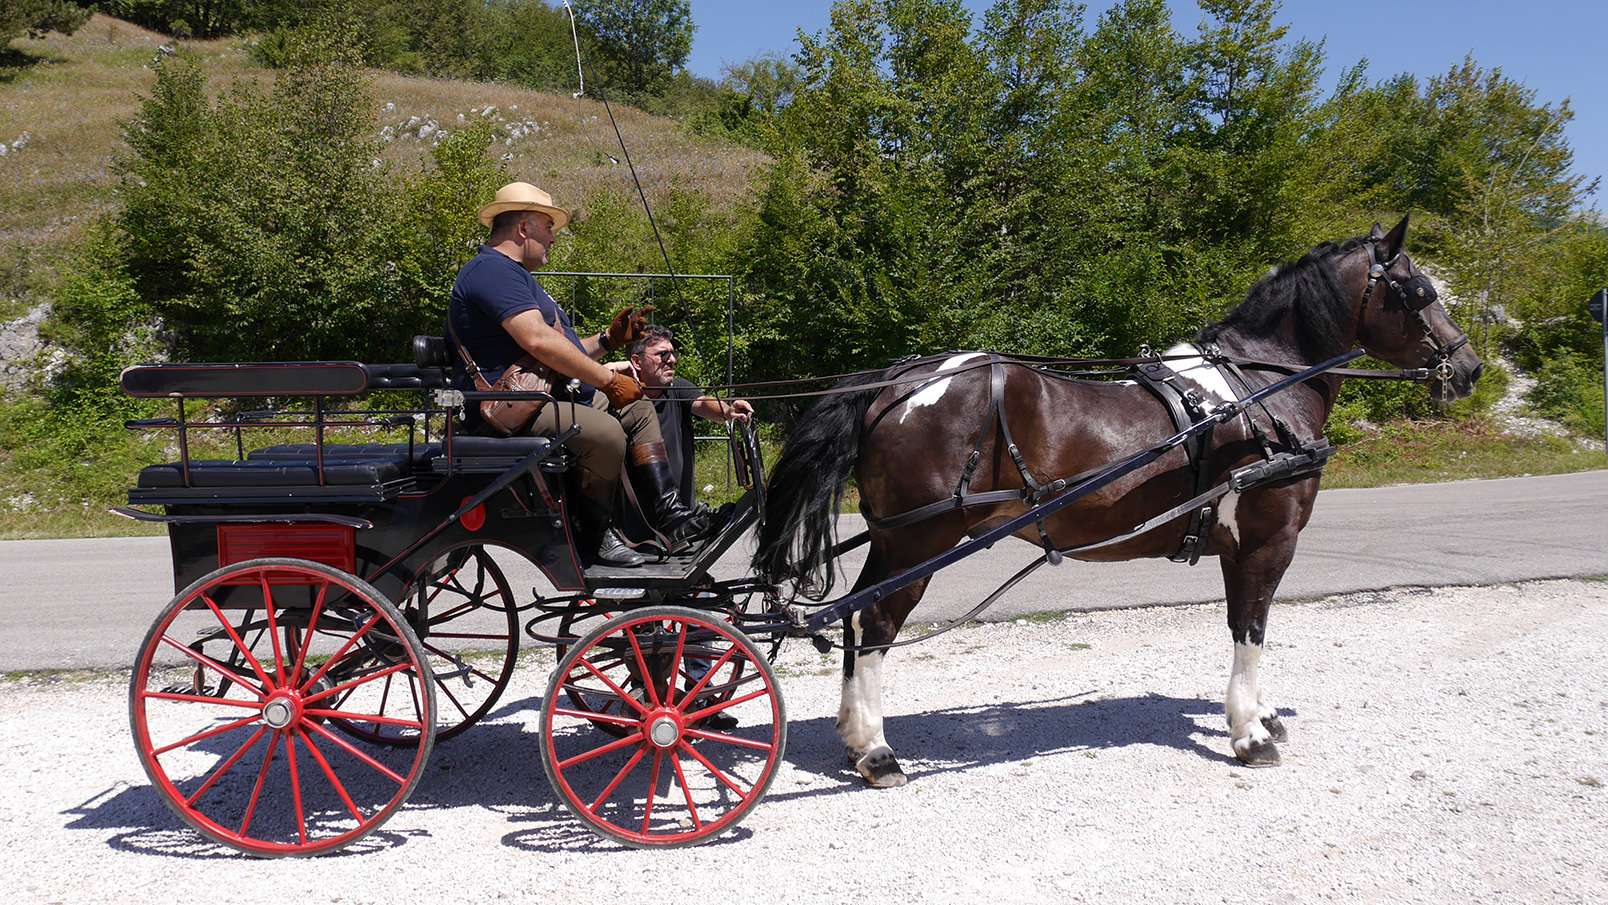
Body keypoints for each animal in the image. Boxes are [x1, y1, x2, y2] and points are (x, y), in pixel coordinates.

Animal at [752, 215, 1479, 790]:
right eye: (1421, 292)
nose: (1469, 367)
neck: (1258, 393)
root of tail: (895, 383)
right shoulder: (1267, 539)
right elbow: (1251, 628)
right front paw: (1249, 731)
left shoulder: (1239, 545)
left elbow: (1248, 623)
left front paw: (1262, 713)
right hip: (920, 539)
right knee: (874, 623)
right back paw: (877, 751)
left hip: (894, 539)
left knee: (855, 620)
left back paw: (854, 735)